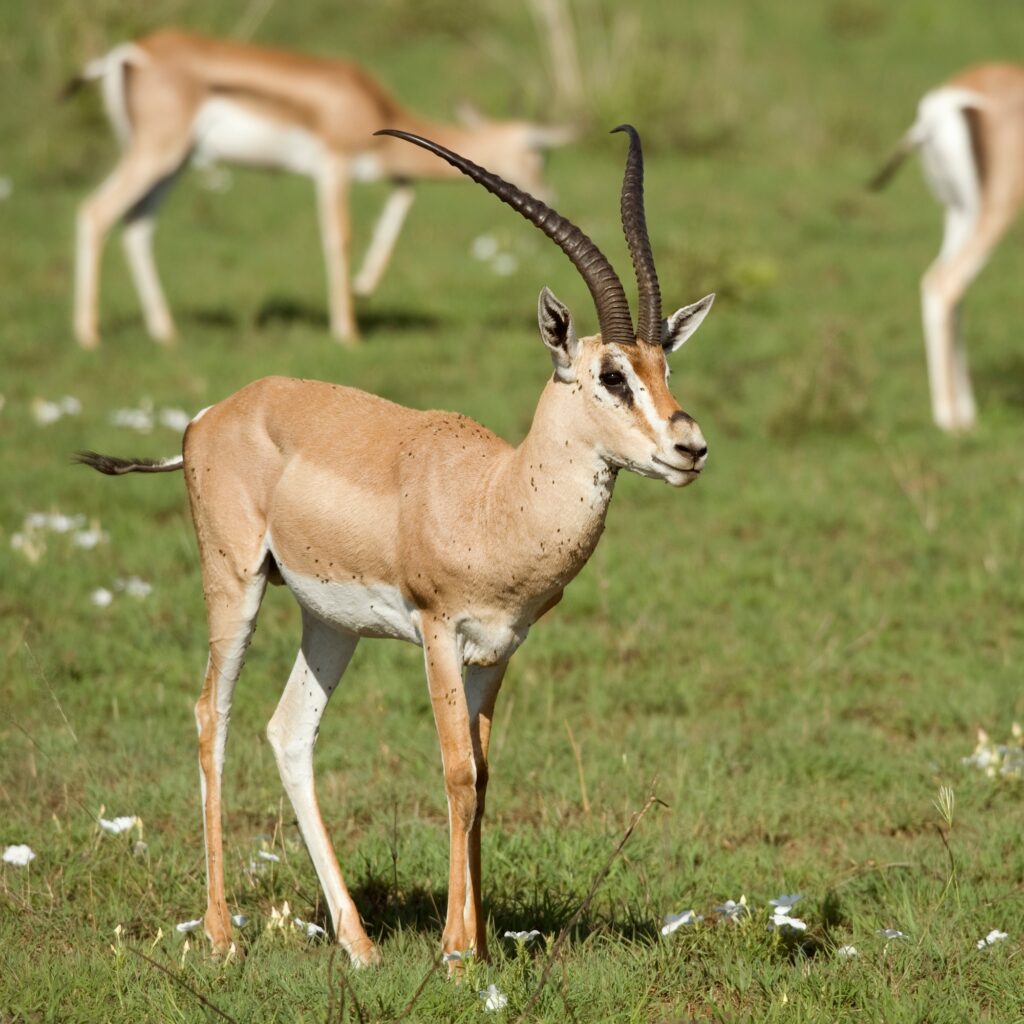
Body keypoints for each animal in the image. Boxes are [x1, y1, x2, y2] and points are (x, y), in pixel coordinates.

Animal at [67, 29, 571, 348]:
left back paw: (165, 333)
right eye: (537, 154)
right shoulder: (334, 165)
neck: (369, 102)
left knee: (137, 224)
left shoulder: (383, 169)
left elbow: (403, 196)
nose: (551, 194)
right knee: (95, 211)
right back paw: (89, 336)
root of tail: (131, 51)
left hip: (176, 160)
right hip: (159, 151)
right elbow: (339, 236)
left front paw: (364, 287)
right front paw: (348, 332)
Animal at [76, 125, 715, 966]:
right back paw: (220, 936)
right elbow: (455, 772)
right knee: (211, 711)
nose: (690, 447)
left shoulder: (500, 649)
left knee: (288, 732)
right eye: (612, 375)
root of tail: (213, 414)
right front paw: (455, 951)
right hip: (235, 586)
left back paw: (359, 944)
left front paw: (478, 944)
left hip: (329, 623)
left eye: (664, 365)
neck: (495, 496)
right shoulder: (438, 633)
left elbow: (484, 772)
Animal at [870, 63, 1024, 432]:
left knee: (943, 285)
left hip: (960, 211)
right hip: (996, 208)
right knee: (946, 283)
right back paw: (950, 420)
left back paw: (963, 412)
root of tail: (938, 108)